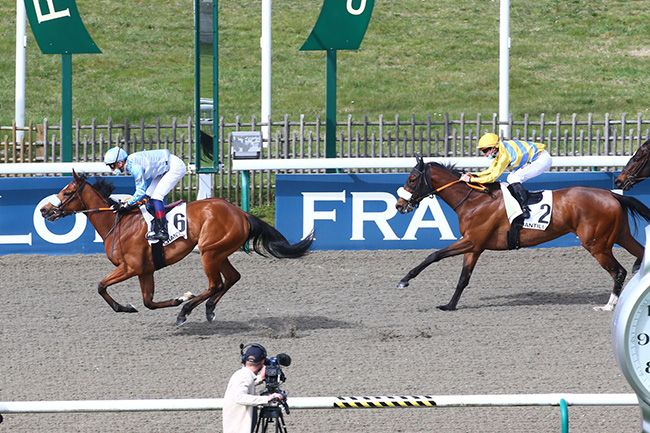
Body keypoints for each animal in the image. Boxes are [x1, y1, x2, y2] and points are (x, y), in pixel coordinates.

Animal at [40, 170, 314, 326]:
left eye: (67, 192)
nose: (44, 210)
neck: (118, 223)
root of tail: (241, 213)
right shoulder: (145, 270)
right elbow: (148, 302)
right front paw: (173, 299)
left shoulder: (130, 267)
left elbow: (100, 286)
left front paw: (128, 307)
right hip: (219, 251)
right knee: (231, 278)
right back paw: (209, 308)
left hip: (209, 252)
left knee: (216, 283)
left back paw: (187, 310)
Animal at [394, 155, 650, 311]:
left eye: (412, 179)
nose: (399, 205)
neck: (474, 200)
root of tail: (612, 195)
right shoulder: (474, 246)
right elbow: (463, 278)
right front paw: (449, 305)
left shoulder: (470, 241)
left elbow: (433, 255)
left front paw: (404, 280)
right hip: (621, 236)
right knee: (640, 255)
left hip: (597, 244)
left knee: (619, 271)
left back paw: (608, 306)